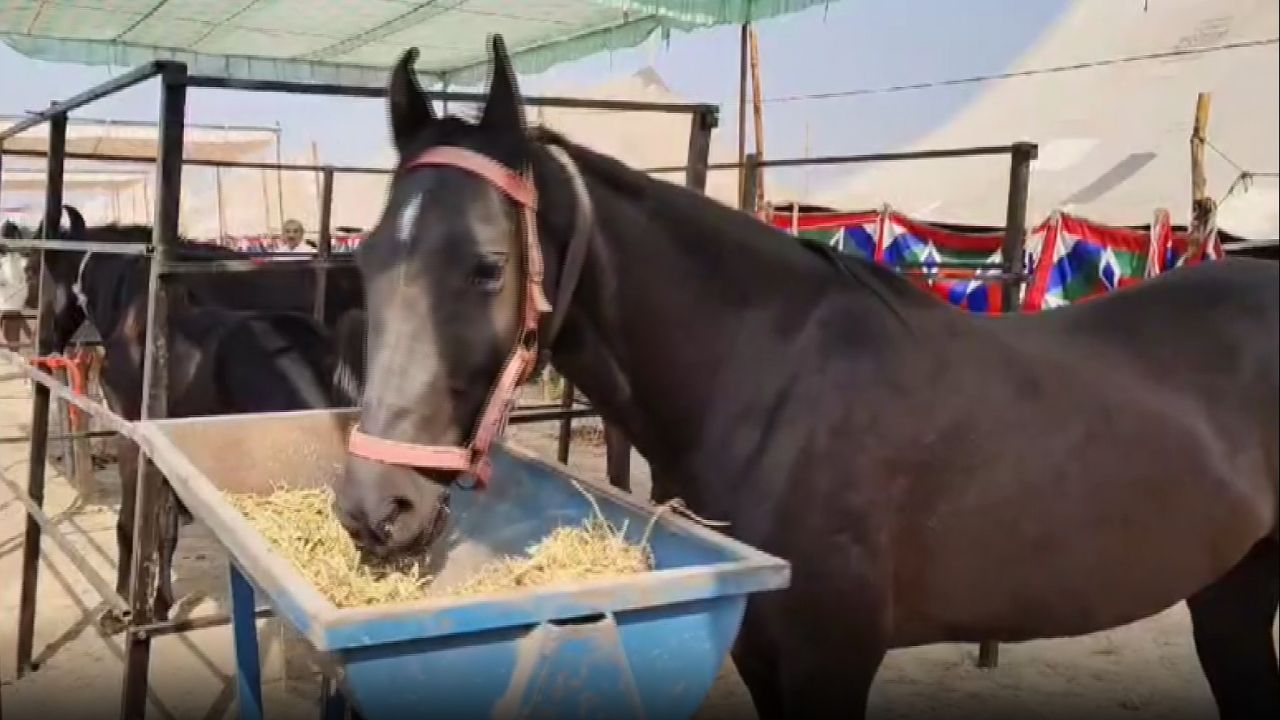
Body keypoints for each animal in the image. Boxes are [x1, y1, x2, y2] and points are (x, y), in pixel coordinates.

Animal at [37, 209, 365, 629]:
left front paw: (122, 608)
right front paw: (161, 605)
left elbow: (130, 525)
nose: (44, 341)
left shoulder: (130, 437)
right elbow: (165, 526)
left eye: (43, 270)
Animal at [334, 37, 1278, 719]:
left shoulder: (835, 660)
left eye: (487, 267)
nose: (375, 509)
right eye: (368, 259)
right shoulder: (761, 654)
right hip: (1230, 597)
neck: (769, 386)